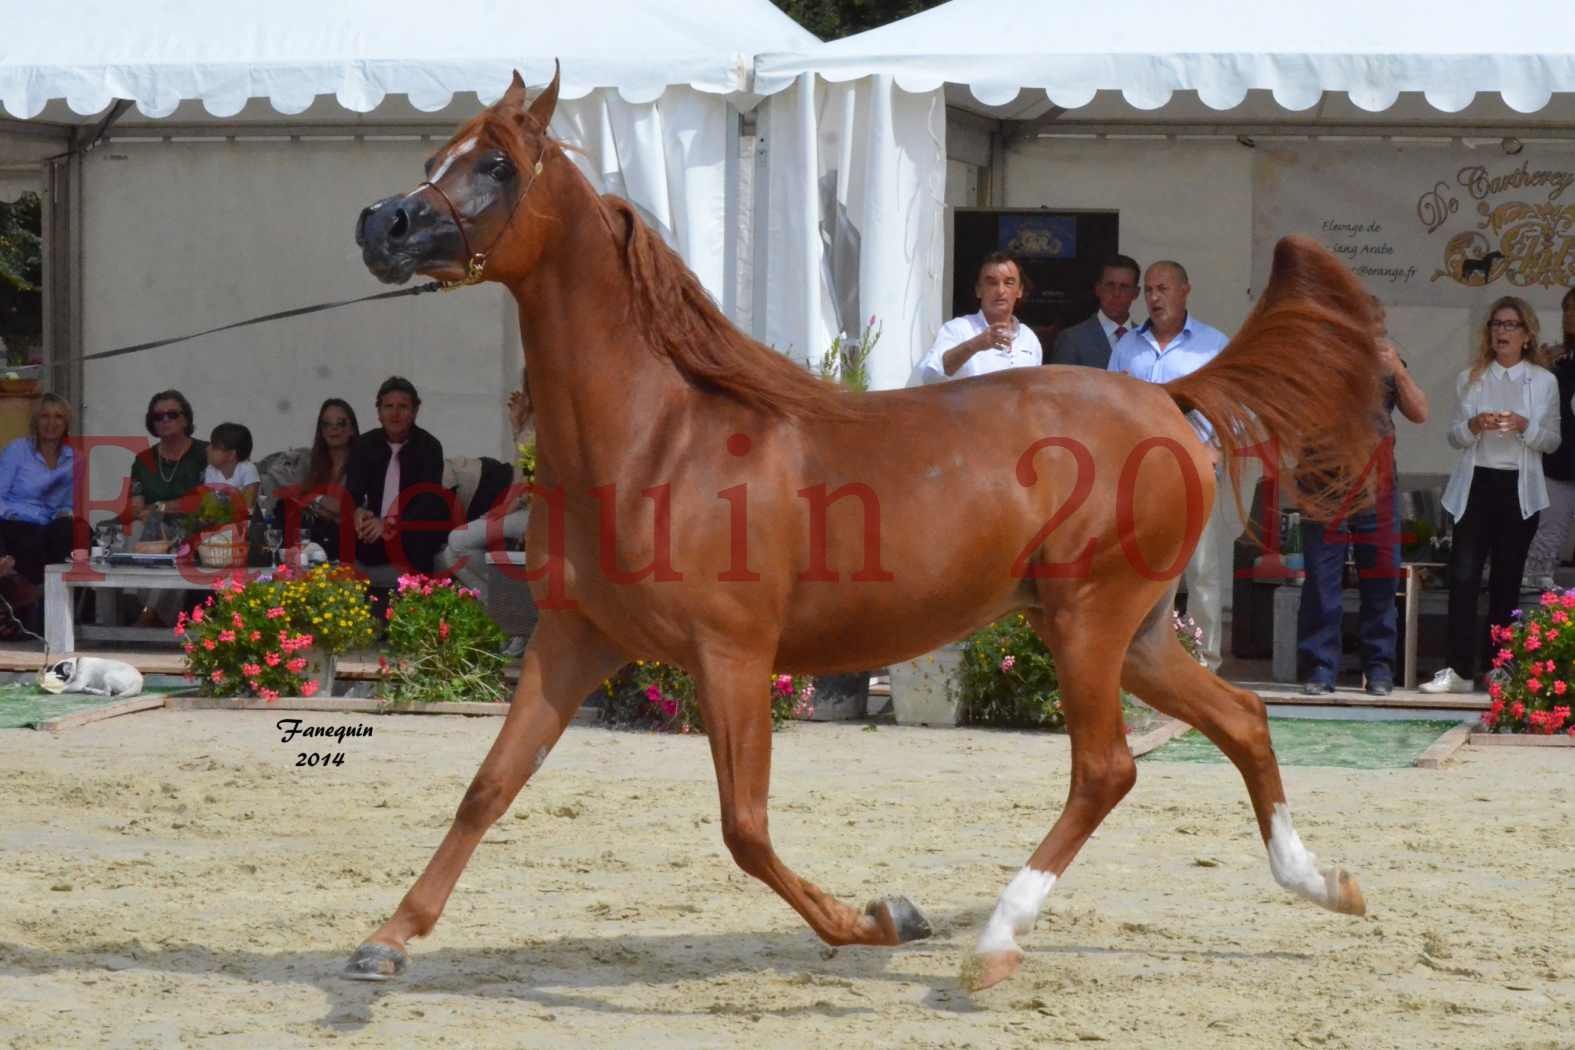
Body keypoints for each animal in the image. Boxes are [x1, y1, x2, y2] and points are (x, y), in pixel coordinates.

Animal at [354, 69, 1379, 988]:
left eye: (495, 164)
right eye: (436, 154)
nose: (381, 225)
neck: (658, 439)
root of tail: (1166, 396)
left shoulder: (730, 654)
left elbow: (745, 829)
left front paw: (884, 918)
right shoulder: (575, 640)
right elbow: (488, 787)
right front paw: (388, 939)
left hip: (1088, 622)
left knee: (1105, 769)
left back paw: (993, 943)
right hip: (1133, 634)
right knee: (1241, 719)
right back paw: (1324, 884)